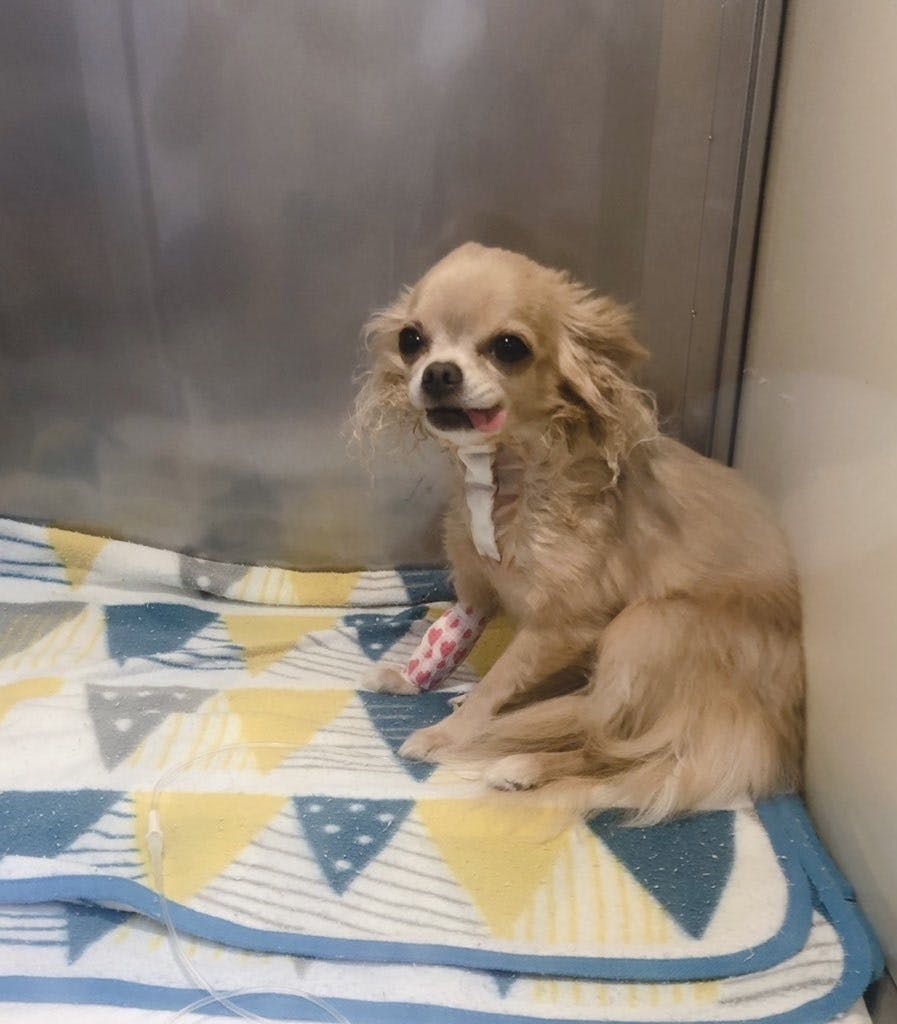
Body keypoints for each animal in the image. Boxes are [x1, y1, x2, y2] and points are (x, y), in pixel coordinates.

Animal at [354, 243, 804, 822]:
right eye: (412, 340)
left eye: (509, 347)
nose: (438, 373)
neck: (505, 478)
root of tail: (774, 723)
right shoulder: (478, 591)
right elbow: (450, 637)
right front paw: (410, 681)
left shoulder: (564, 625)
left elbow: (498, 681)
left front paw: (449, 733)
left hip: (645, 625)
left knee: (615, 740)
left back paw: (523, 764)